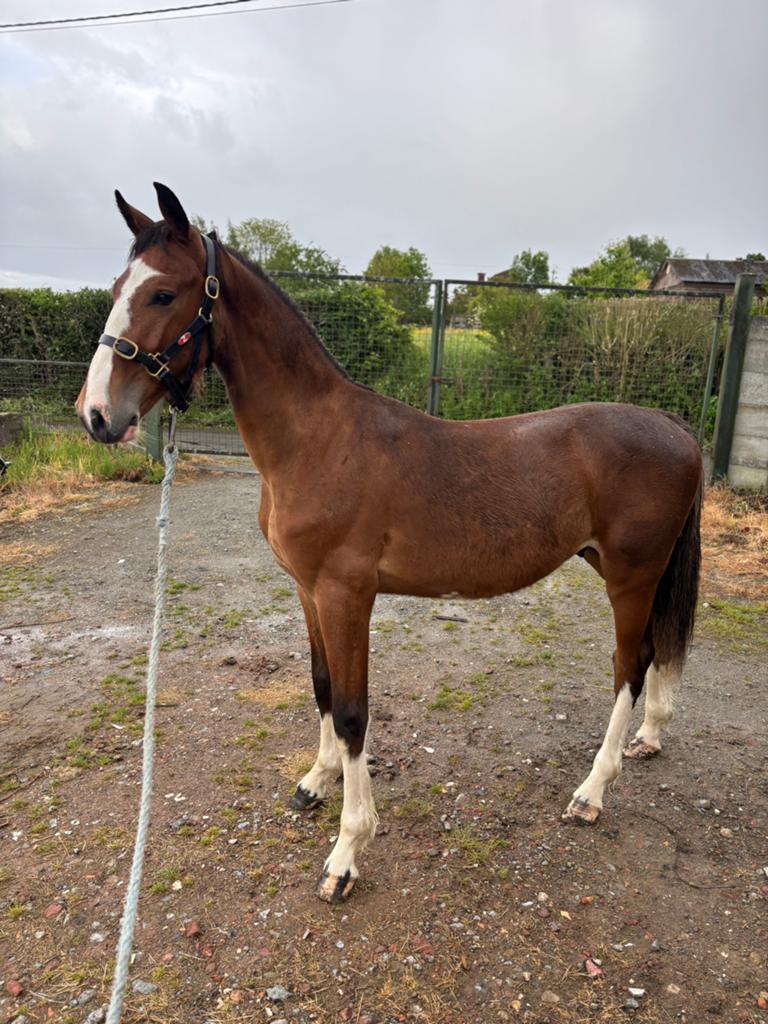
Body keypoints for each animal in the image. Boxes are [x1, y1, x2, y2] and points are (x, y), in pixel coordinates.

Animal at [76, 183, 703, 903]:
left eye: (162, 293)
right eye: (117, 286)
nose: (97, 415)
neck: (318, 440)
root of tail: (674, 426)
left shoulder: (347, 594)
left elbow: (353, 712)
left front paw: (347, 853)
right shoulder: (308, 591)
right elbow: (322, 687)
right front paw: (315, 783)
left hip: (631, 575)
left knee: (631, 665)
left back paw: (592, 792)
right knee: (655, 656)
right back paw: (645, 741)